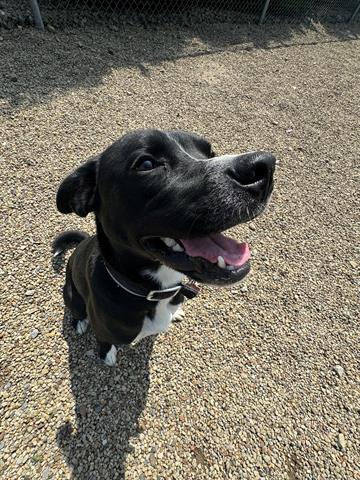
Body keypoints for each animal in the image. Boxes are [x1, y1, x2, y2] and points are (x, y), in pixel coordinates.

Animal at [52, 129, 276, 366]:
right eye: (147, 164)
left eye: (210, 153)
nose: (264, 166)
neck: (154, 292)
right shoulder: (105, 332)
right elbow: (105, 344)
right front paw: (108, 355)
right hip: (71, 295)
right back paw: (79, 322)